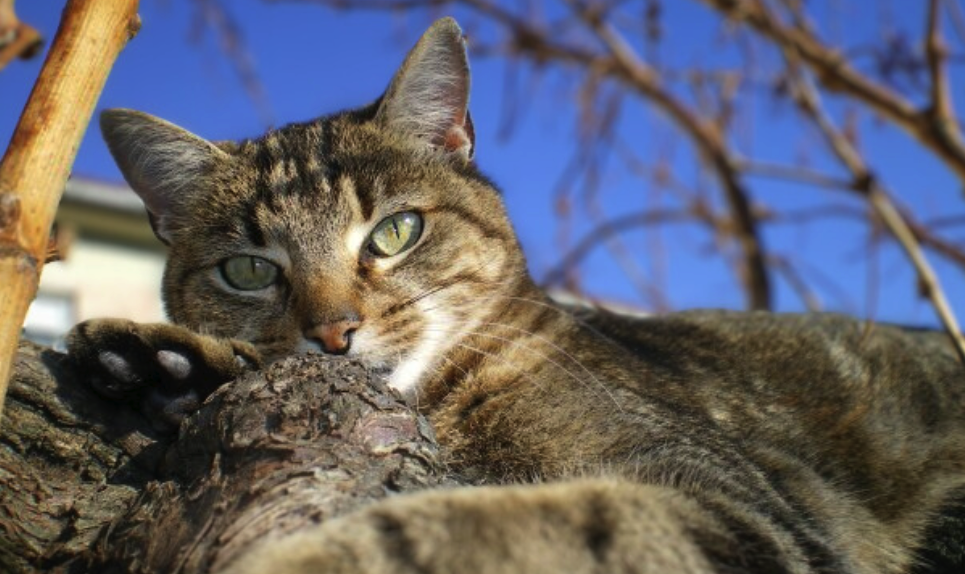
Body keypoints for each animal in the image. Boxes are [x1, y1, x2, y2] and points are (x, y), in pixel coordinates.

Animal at [68, 15, 964, 572]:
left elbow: (529, 523)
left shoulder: (732, 505)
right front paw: (167, 363)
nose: (333, 331)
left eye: (394, 232)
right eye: (249, 270)